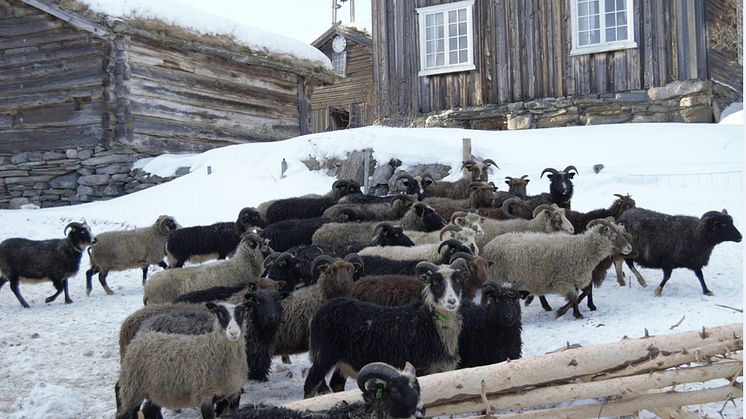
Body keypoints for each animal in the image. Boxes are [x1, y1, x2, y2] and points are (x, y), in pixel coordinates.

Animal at [302, 260, 464, 398]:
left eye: (457, 281)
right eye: (436, 282)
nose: (451, 302)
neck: (430, 324)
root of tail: (321, 311)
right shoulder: (422, 368)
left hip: (343, 361)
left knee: (336, 384)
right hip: (324, 355)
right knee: (310, 384)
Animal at [612, 208, 740, 296]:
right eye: (723, 224)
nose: (740, 237)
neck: (697, 235)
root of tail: (621, 217)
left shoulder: (695, 261)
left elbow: (700, 275)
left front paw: (706, 291)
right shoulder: (667, 262)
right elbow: (667, 277)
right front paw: (658, 291)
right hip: (628, 250)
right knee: (628, 263)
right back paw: (641, 280)